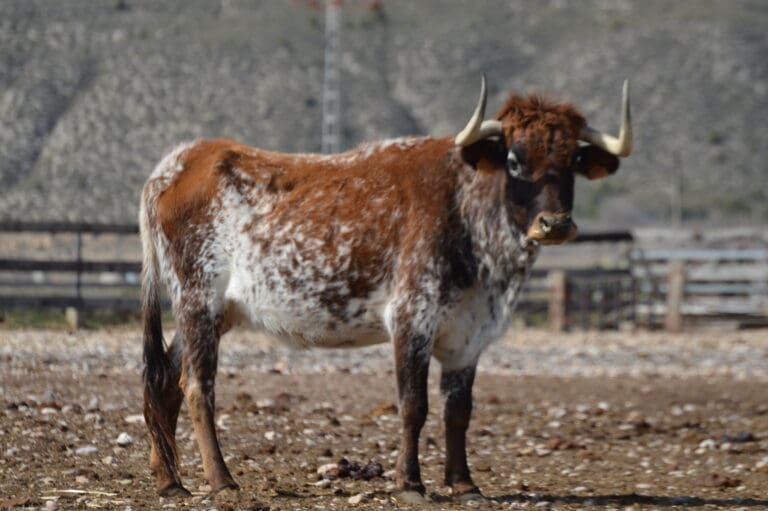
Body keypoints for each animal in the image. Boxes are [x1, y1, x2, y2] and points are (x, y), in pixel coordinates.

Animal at [140, 75, 632, 503]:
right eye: (514, 159)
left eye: (573, 162)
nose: (555, 224)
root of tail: (181, 161)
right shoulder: (412, 317)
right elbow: (414, 404)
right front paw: (410, 483)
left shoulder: (469, 334)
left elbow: (459, 410)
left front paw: (463, 484)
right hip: (197, 299)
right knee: (196, 385)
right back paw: (220, 479)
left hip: (217, 312)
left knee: (164, 379)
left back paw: (170, 481)